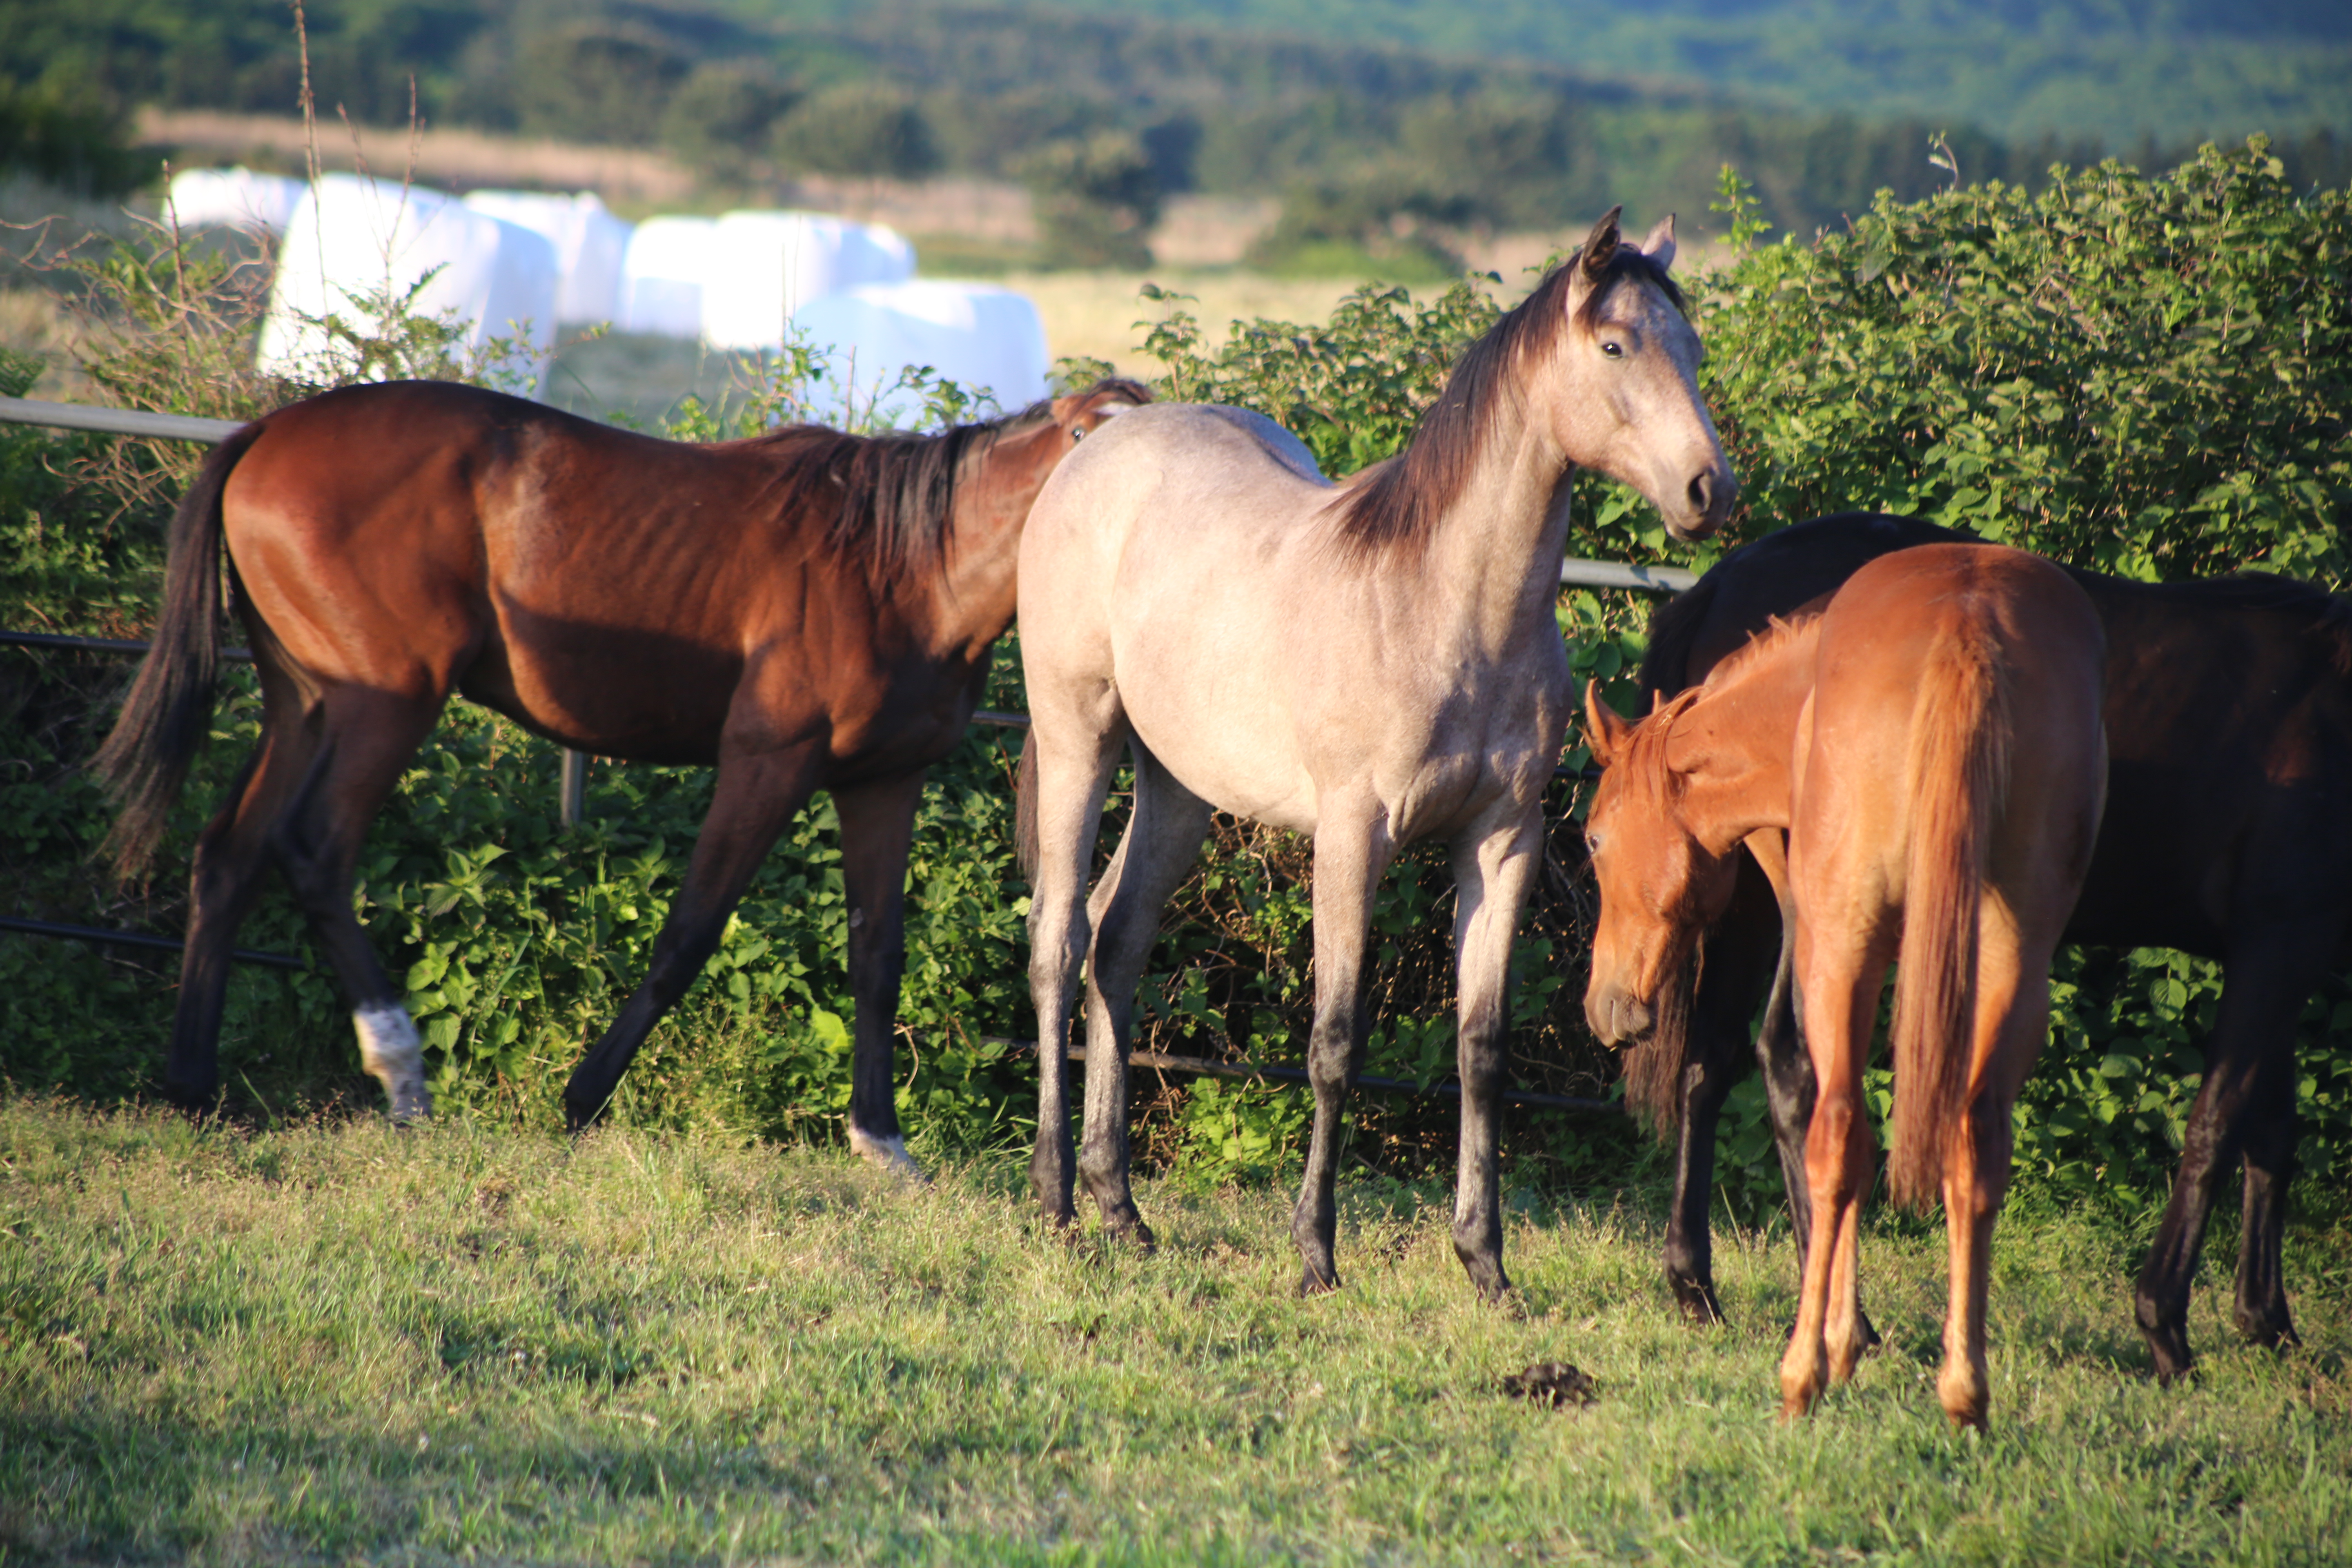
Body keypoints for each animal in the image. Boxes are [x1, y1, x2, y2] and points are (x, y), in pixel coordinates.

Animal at [91, 374, 1147, 1161]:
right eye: (1081, 432)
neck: (903, 568)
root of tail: (267, 431)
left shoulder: (883, 781)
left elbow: (877, 957)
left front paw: (879, 1139)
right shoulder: (767, 760)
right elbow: (687, 934)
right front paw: (582, 1097)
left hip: (303, 702)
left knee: (230, 855)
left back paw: (194, 1085)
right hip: (382, 700)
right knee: (313, 850)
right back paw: (400, 1069)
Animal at [1011, 212, 1731, 1297]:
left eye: (1687, 347)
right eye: (1614, 346)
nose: (1707, 489)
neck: (1446, 607)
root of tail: (1095, 448)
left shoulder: (1502, 841)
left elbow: (1481, 1049)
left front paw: (1486, 1265)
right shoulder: (1354, 836)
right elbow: (1335, 1043)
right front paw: (1315, 1253)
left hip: (1178, 786)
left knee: (1117, 940)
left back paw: (1120, 1208)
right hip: (1077, 739)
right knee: (1058, 939)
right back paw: (1056, 1198)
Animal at [1580, 543, 2117, 1439]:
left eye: (1590, 839)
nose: (1604, 1007)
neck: (1793, 701)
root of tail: (1966, 628)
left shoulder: (1805, 921)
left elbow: (1792, 1084)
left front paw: (1840, 1331)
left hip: (1843, 944)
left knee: (1835, 1130)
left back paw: (1803, 1374)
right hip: (2014, 956)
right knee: (1976, 1144)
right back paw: (1964, 1394)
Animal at [1637, 512, 2352, 1373]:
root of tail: (1723, 581)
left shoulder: (2275, 947)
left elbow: (2269, 1132)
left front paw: (2267, 1322)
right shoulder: (2282, 940)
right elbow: (2218, 1126)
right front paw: (2169, 1326)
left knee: (1711, 1064)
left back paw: (1704, 1287)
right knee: (1779, 1060)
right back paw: (1838, 1315)